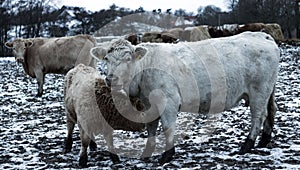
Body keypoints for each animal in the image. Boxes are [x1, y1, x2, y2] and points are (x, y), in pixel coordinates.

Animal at [91, 31, 278, 163]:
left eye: (128, 58)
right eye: (106, 58)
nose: (111, 79)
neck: (145, 68)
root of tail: (262, 35)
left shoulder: (168, 101)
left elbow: (167, 127)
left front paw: (167, 155)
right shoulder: (149, 103)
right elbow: (151, 127)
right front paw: (147, 152)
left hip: (259, 91)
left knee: (258, 116)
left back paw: (247, 145)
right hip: (268, 91)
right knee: (271, 111)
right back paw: (264, 141)